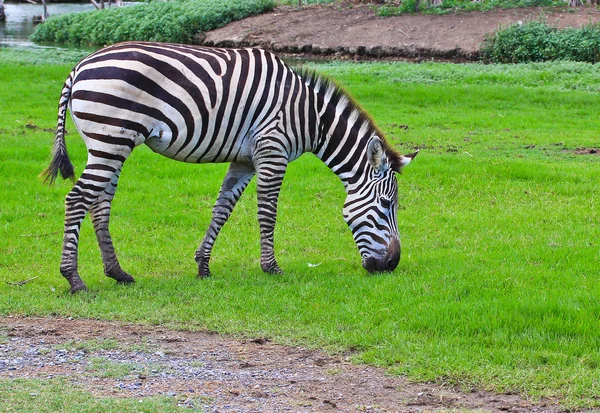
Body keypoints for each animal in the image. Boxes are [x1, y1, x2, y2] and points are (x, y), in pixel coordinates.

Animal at [43, 41, 418, 292]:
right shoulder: (272, 151)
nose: (391, 265)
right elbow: (268, 212)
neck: (311, 117)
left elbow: (222, 209)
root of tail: (79, 66)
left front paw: (203, 265)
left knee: (99, 203)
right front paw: (271, 268)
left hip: (108, 145)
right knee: (76, 199)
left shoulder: (244, 160)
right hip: (111, 139)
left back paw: (117, 273)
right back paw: (74, 279)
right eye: (387, 205)